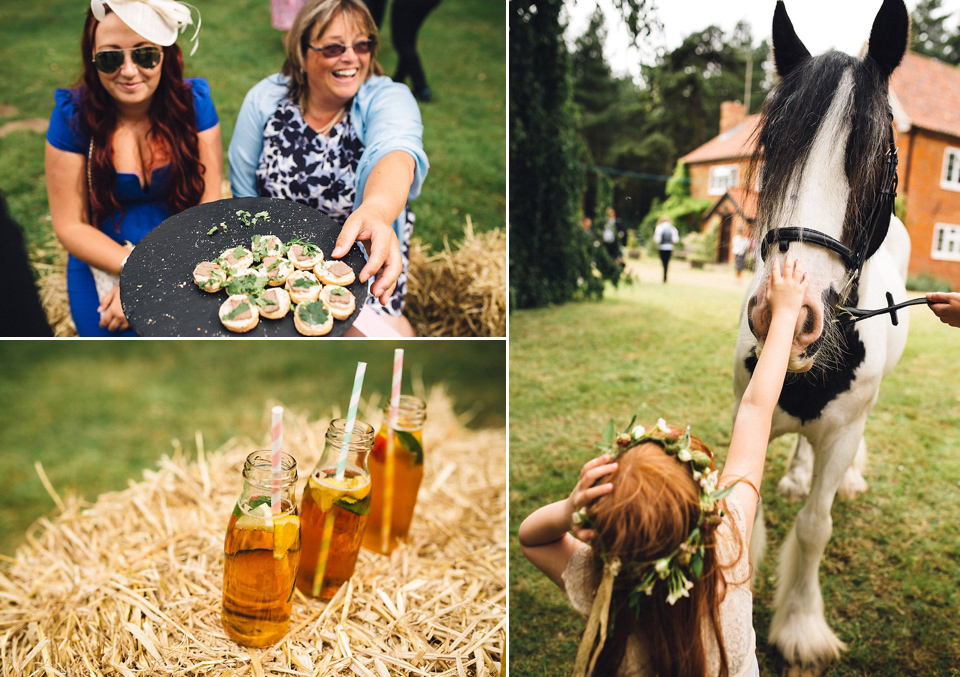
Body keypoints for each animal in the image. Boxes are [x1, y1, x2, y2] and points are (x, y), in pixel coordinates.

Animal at [736, 0, 908, 672]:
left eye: (881, 154)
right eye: (773, 147)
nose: (787, 312)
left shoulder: (842, 432)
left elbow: (815, 527)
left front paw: (801, 626)